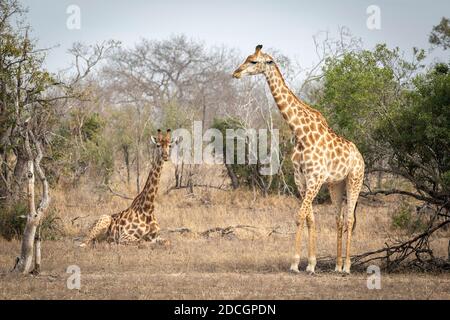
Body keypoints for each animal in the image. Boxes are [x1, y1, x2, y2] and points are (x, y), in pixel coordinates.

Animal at [232, 45, 366, 276]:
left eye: (253, 61)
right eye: (247, 58)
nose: (236, 73)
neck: (301, 134)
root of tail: (360, 156)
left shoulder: (315, 178)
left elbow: (299, 216)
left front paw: (296, 264)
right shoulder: (301, 179)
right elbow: (309, 218)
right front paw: (310, 263)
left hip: (354, 179)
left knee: (349, 218)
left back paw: (347, 266)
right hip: (336, 184)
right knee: (338, 219)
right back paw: (337, 265)